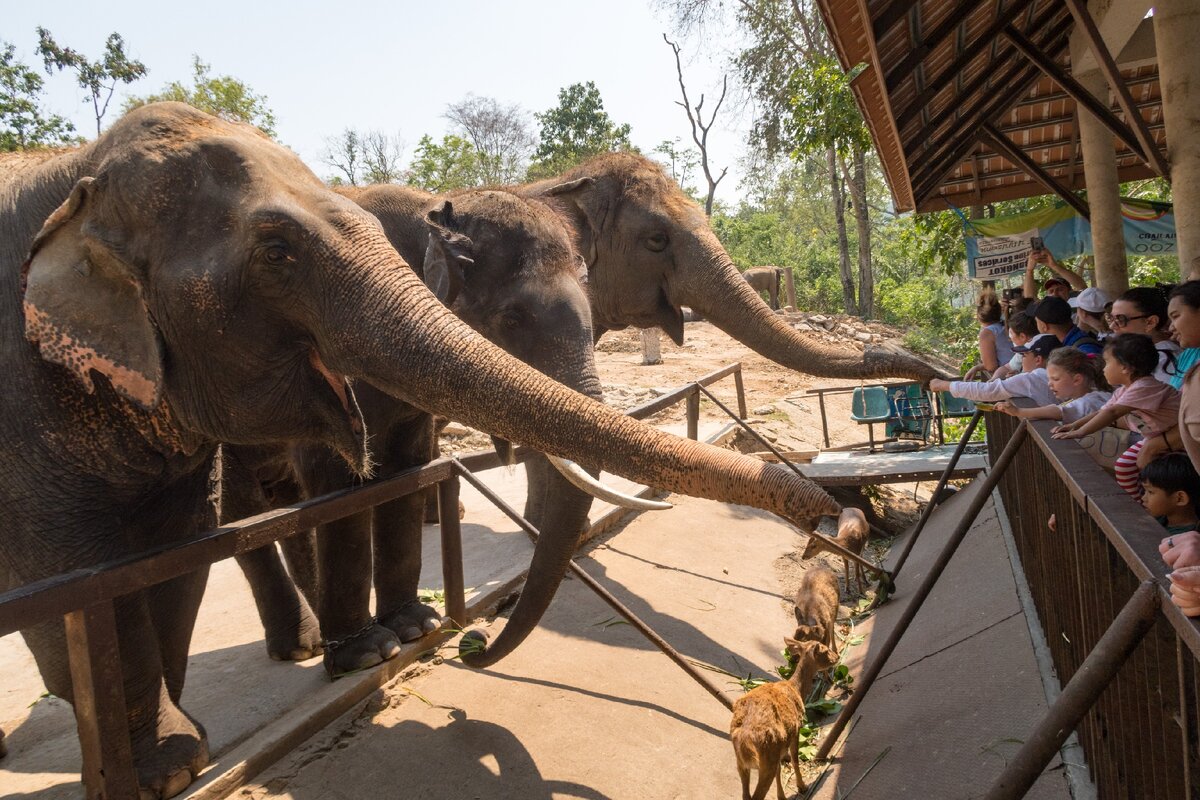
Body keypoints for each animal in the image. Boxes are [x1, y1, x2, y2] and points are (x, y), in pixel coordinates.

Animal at [724, 638, 840, 800]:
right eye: (825, 649)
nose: (837, 657)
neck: (796, 689)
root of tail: (744, 738)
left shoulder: (779, 747)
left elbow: (780, 769)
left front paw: (782, 796)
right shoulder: (796, 729)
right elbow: (795, 759)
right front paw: (802, 786)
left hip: (742, 762)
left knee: (746, 794)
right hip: (766, 759)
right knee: (757, 794)